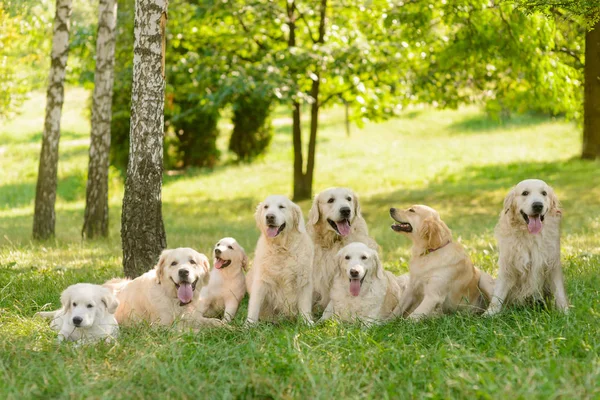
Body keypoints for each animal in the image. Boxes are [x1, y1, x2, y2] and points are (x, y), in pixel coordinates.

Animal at [247, 195, 316, 324]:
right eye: (266, 207)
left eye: (281, 207)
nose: (269, 216)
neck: (281, 249)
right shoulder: (261, 281)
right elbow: (254, 305)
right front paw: (249, 325)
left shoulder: (304, 280)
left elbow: (304, 306)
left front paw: (307, 322)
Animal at [482, 179, 568, 316]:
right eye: (525, 193)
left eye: (544, 193)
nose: (537, 205)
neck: (529, 236)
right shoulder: (507, 266)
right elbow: (498, 294)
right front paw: (490, 313)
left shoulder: (552, 263)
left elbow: (559, 291)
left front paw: (564, 311)